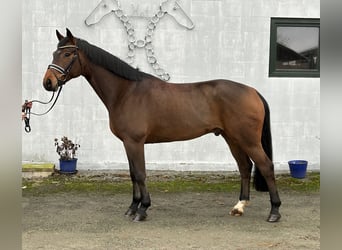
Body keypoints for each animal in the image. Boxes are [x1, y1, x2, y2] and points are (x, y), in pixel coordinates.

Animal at [42, 29, 282, 223]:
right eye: (54, 53)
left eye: (67, 54)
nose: (48, 82)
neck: (126, 92)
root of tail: (253, 91)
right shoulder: (127, 143)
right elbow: (132, 174)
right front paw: (132, 208)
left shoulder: (135, 142)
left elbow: (140, 174)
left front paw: (142, 210)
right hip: (232, 138)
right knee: (245, 167)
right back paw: (239, 207)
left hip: (247, 139)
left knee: (266, 166)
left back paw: (274, 212)